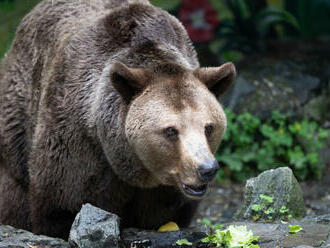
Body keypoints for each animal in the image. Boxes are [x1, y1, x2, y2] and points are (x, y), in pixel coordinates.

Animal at [0, 0, 236, 238]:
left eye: (209, 127)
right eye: (171, 130)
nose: (206, 169)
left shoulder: (165, 191)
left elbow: (167, 215)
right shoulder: (77, 141)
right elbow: (62, 205)